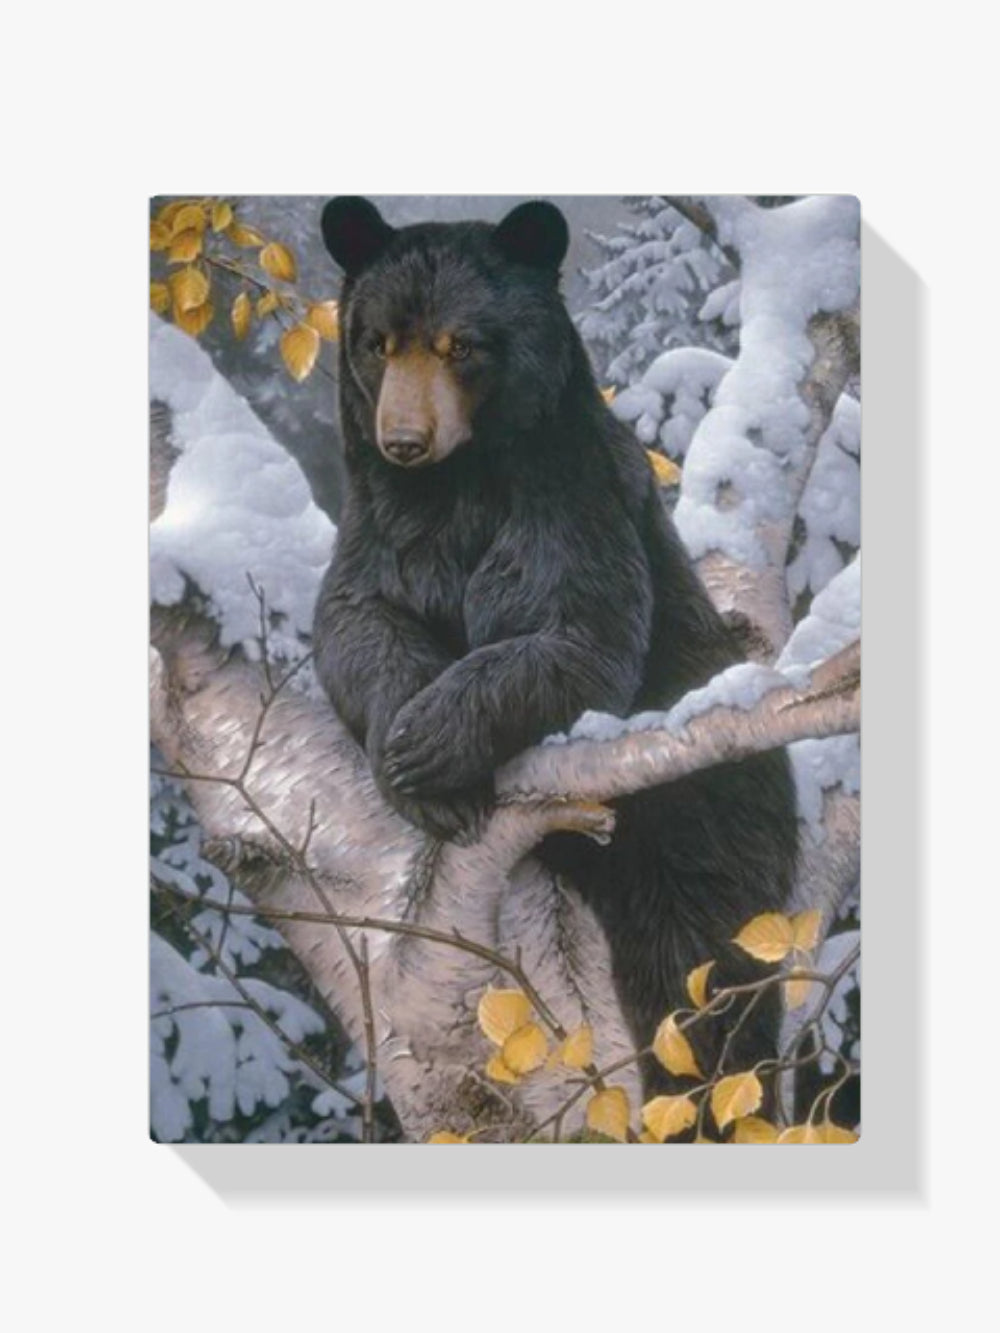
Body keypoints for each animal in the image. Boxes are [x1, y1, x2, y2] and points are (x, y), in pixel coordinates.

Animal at [313, 196, 799, 1097]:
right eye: (378, 342)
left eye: (461, 345)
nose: (403, 438)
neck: (454, 484)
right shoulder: (384, 522)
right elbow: (356, 620)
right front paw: (412, 755)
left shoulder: (569, 496)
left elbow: (581, 634)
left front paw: (432, 742)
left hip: (707, 817)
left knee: (698, 970)